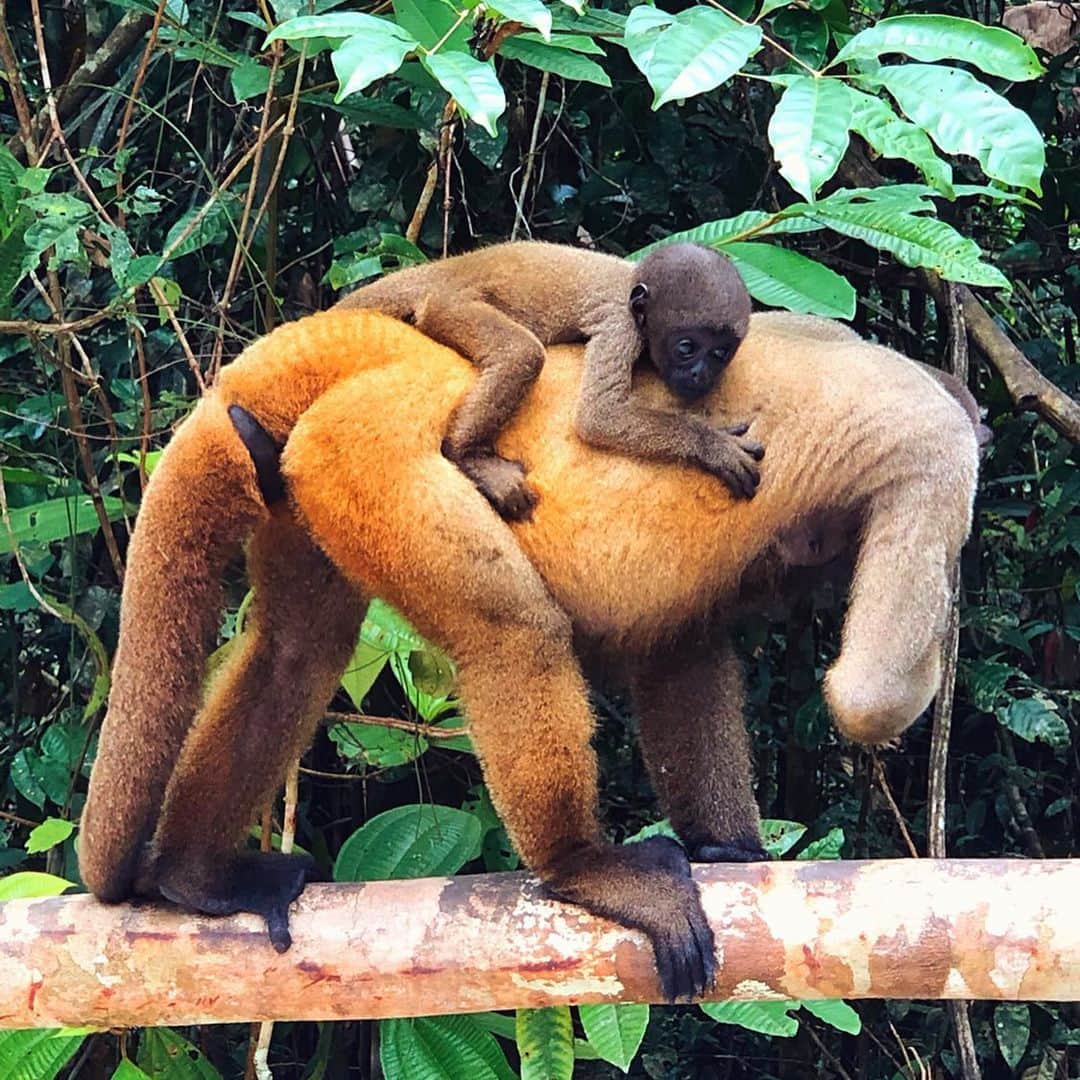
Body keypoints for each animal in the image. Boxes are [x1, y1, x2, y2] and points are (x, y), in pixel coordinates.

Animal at [79, 309, 980, 1003]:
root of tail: (407, 356)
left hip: (318, 468)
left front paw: (729, 850)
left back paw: (194, 876)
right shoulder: (934, 453)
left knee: (293, 655)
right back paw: (581, 867)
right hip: (378, 447)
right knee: (509, 630)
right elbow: (868, 693)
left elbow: (680, 649)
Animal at [334, 241, 759, 520]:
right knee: (522, 353)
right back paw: (468, 455)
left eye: (719, 354)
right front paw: (711, 444)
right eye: (687, 348)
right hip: (448, 303)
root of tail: (448, 267)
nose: (700, 374)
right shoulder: (620, 324)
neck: (634, 284)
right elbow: (598, 416)